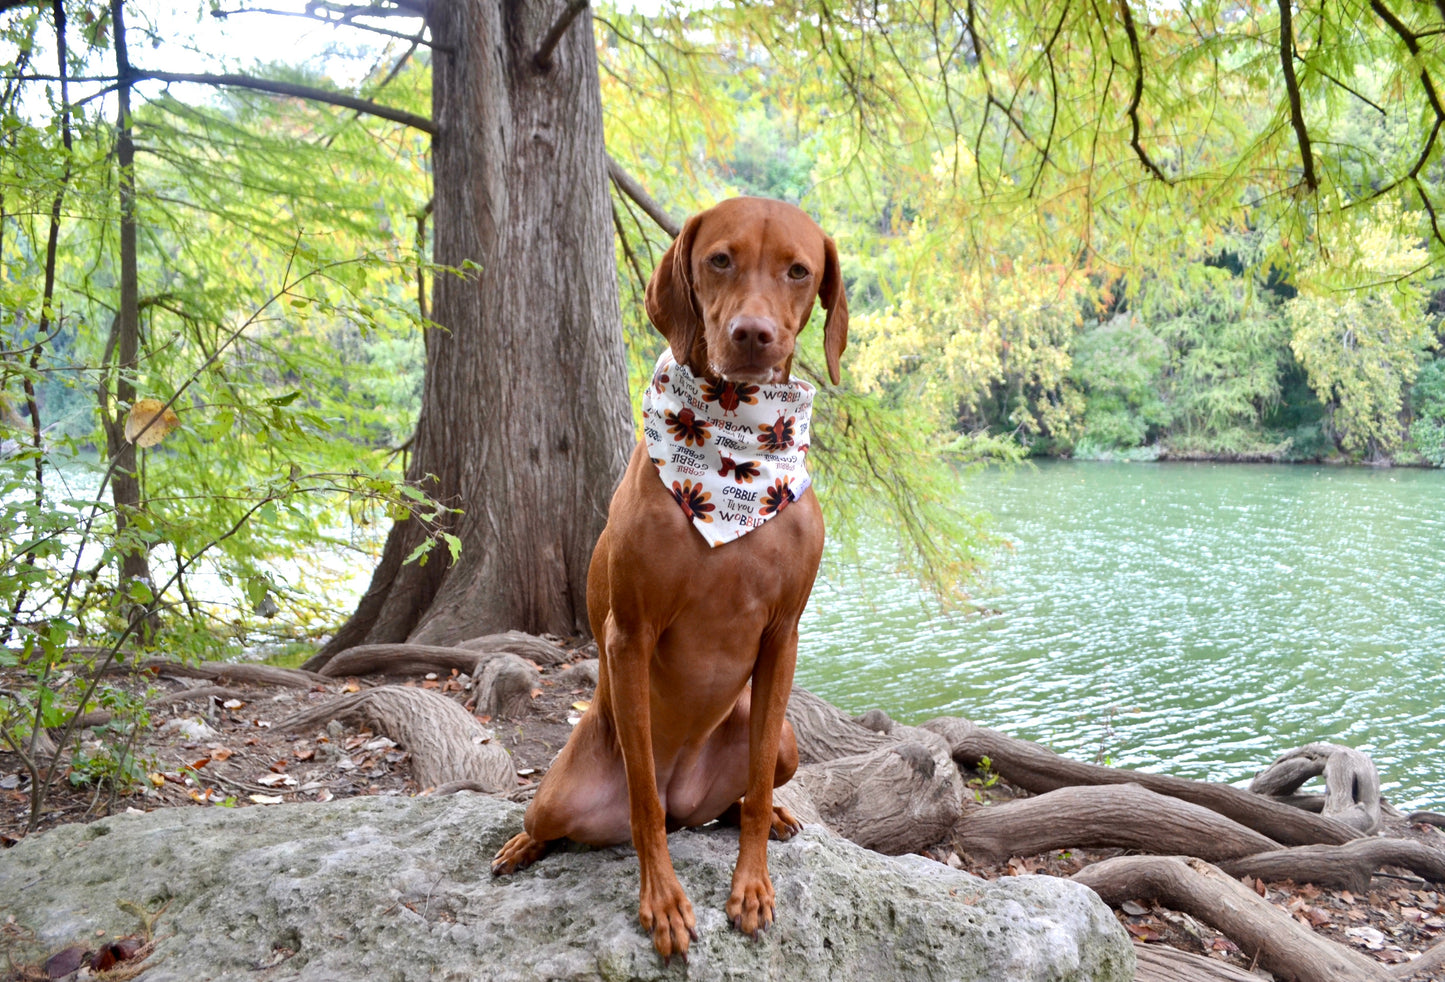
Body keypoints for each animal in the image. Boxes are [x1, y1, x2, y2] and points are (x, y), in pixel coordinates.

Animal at [491, 197, 843, 958]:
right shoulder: (630, 632)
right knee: (586, 815)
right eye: (720, 260)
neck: (734, 456)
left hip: (785, 741)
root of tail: (691, 802)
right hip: (559, 792)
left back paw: (767, 815)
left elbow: (750, 793)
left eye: (798, 271)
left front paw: (751, 883)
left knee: (736, 797)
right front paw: (663, 902)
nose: (752, 334)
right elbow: (643, 802)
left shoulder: (783, 635)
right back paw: (522, 846)